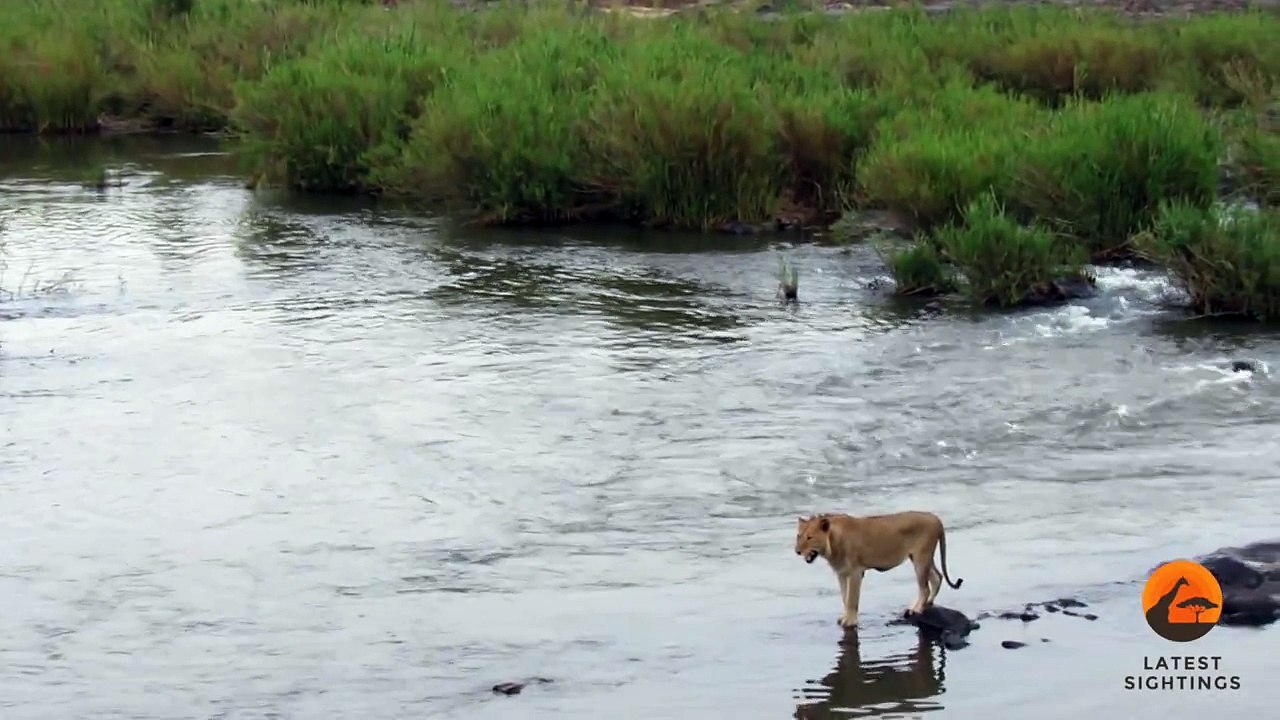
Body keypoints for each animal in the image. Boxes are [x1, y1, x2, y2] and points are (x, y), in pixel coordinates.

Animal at [794, 511, 963, 628]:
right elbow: (844, 597)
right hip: (921, 558)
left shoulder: (856, 572)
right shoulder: (841, 573)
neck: (832, 543)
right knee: (937, 577)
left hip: (921, 558)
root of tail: (936, 518)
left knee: (925, 588)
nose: (797, 551)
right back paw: (926, 604)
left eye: (809, 538)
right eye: (798, 536)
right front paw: (845, 617)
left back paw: (915, 610)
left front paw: (850, 622)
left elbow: (852, 599)